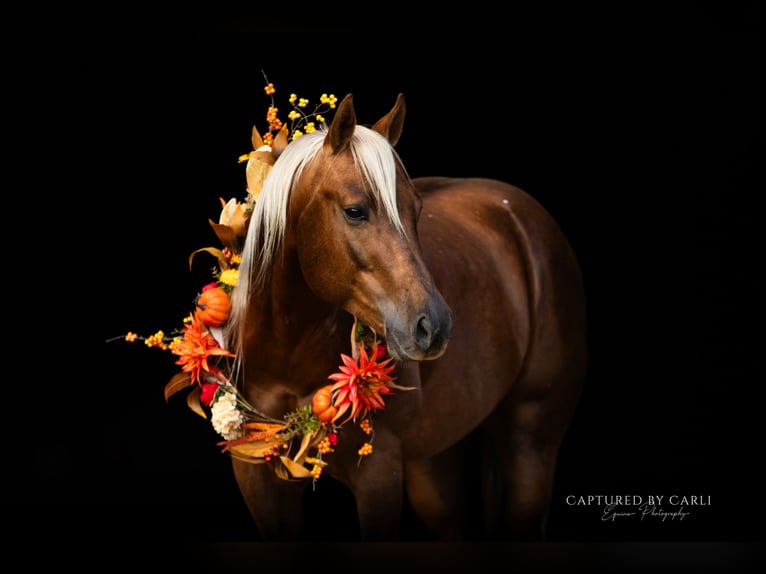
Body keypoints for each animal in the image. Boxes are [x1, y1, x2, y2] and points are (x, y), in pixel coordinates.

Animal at [223, 92, 588, 541]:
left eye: (417, 210)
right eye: (355, 210)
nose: (435, 325)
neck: (286, 354)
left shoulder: (379, 476)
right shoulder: (257, 479)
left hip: (530, 446)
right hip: (435, 463)